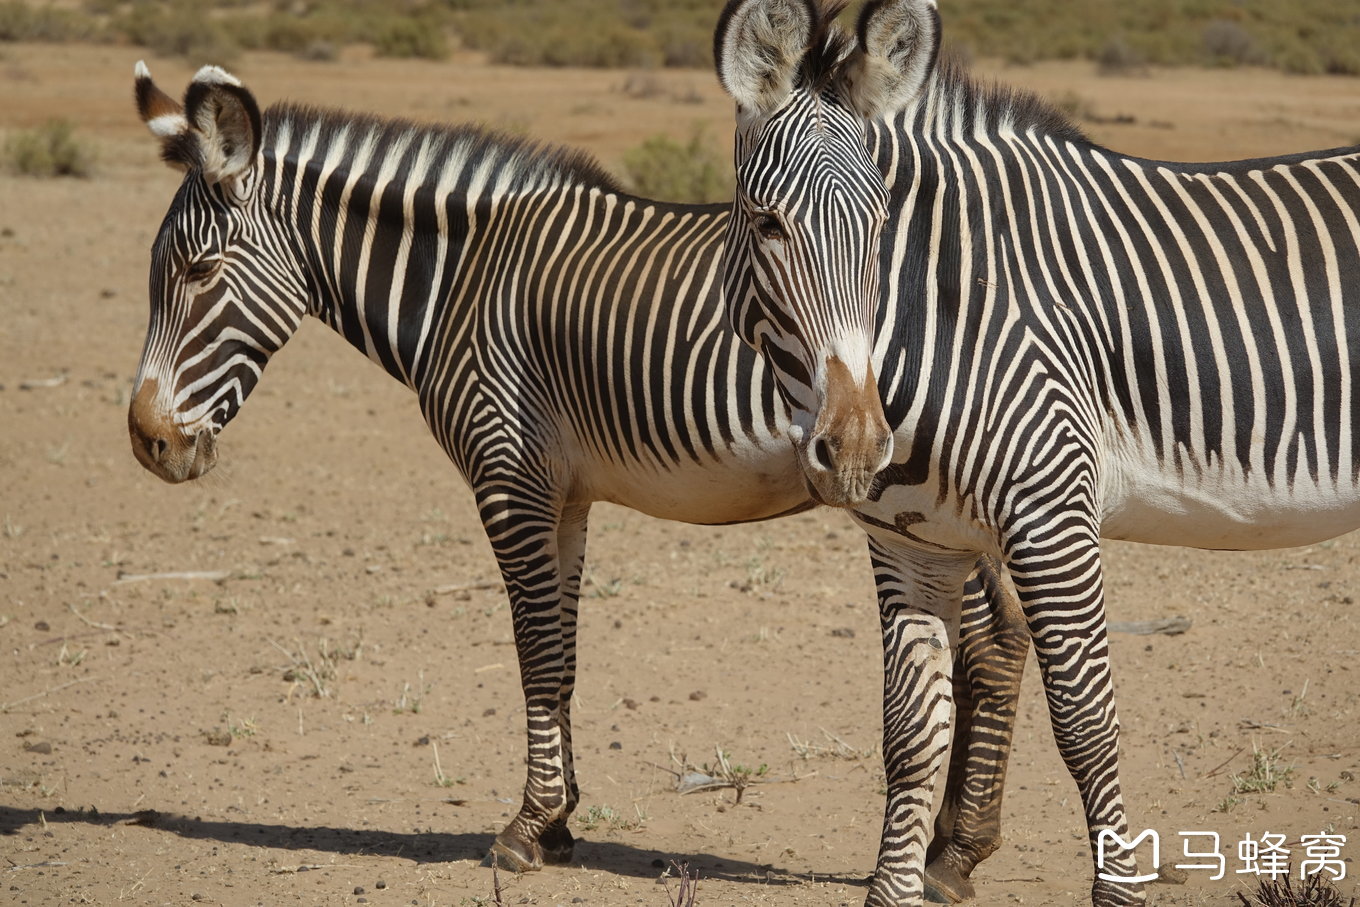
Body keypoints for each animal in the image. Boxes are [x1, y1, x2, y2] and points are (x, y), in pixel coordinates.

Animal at [127, 62, 1022, 892]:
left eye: (198, 271)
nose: (147, 440)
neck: (457, 282)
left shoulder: (507, 473)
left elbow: (536, 650)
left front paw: (528, 826)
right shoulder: (565, 496)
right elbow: (563, 650)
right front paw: (560, 821)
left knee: (989, 640)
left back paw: (952, 851)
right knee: (999, 637)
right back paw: (951, 843)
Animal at [712, 0, 1360, 902]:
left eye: (881, 224)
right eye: (767, 223)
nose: (856, 446)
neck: (954, 308)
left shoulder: (1052, 512)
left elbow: (1086, 721)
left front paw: (1117, 888)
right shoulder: (912, 544)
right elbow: (911, 735)